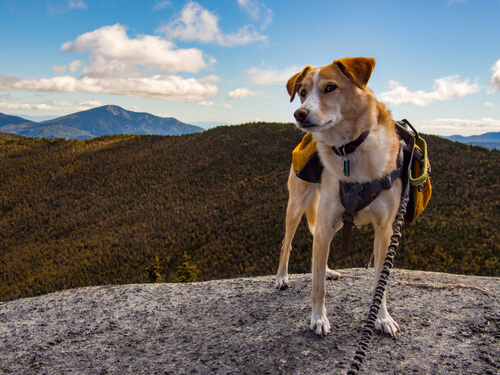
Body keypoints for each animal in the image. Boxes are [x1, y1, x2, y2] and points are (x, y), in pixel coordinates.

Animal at [278, 56, 402, 338]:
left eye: (330, 88)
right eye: (303, 92)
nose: (299, 113)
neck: (350, 149)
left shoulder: (385, 230)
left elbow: (380, 282)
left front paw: (382, 317)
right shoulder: (325, 221)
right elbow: (317, 287)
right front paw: (318, 319)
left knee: (318, 254)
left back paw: (327, 270)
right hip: (297, 205)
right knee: (287, 242)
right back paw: (281, 277)